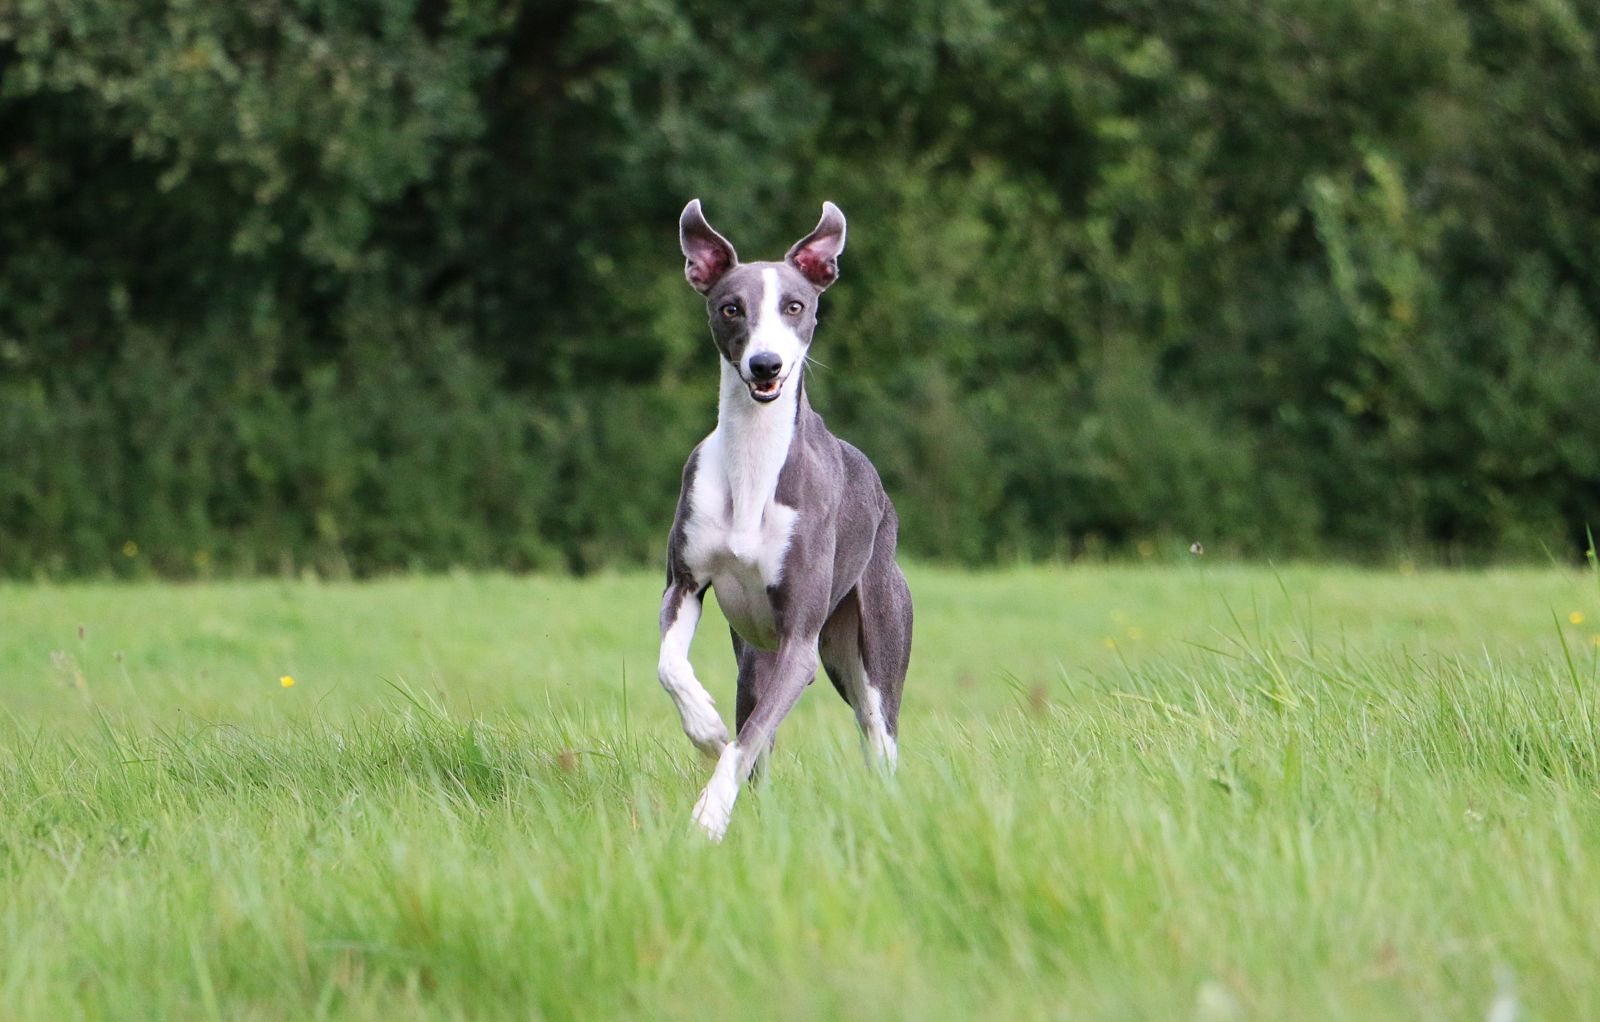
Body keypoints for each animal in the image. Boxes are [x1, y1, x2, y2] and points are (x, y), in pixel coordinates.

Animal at [656, 198, 915, 838]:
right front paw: (705, 729)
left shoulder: (800, 644)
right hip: (755, 659)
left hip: (868, 649)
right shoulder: (684, 584)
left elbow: (746, 742)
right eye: (731, 306)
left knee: (879, 735)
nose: (765, 365)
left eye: (795, 306)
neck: (753, 462)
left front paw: (708, 814)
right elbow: (673, 668)